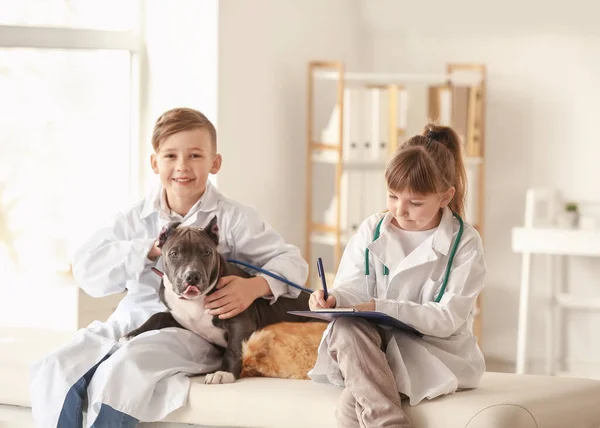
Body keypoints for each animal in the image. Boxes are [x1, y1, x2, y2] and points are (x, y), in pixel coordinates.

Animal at [122, 217, 312, 384]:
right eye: (174, 254)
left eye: (207, 252)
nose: (192, 276)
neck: (195, 301)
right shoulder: (181, 318)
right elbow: (158, 316)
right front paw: (132, 334)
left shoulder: (240, 322)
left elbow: (234, 349)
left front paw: (224, 373)